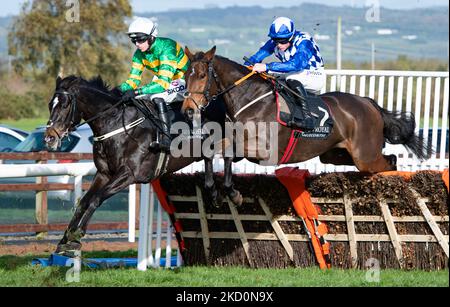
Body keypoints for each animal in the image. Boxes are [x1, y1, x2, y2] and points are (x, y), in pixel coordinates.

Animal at [45, 76, 220, 255]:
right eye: (50, 104)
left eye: (64, 105)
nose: (49, 137)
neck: (117, 126)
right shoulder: (104, 173)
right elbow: (83, 202)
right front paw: (65, 239)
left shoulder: (129, 174)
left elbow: (96, 199)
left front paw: (78, 235)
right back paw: (212, 191)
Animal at [180, 46, 428, 205]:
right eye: (185, 76)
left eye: (201, 75)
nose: (188, 109)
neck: (250, 100)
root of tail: (368, 102)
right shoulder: (238, 142)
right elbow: (212, 151)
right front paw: (214, 191)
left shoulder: (265, 151)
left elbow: (228, 154)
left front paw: (232, 193)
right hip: (334, 155)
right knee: (386, 160)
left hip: (365, 156)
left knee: (390, 162)